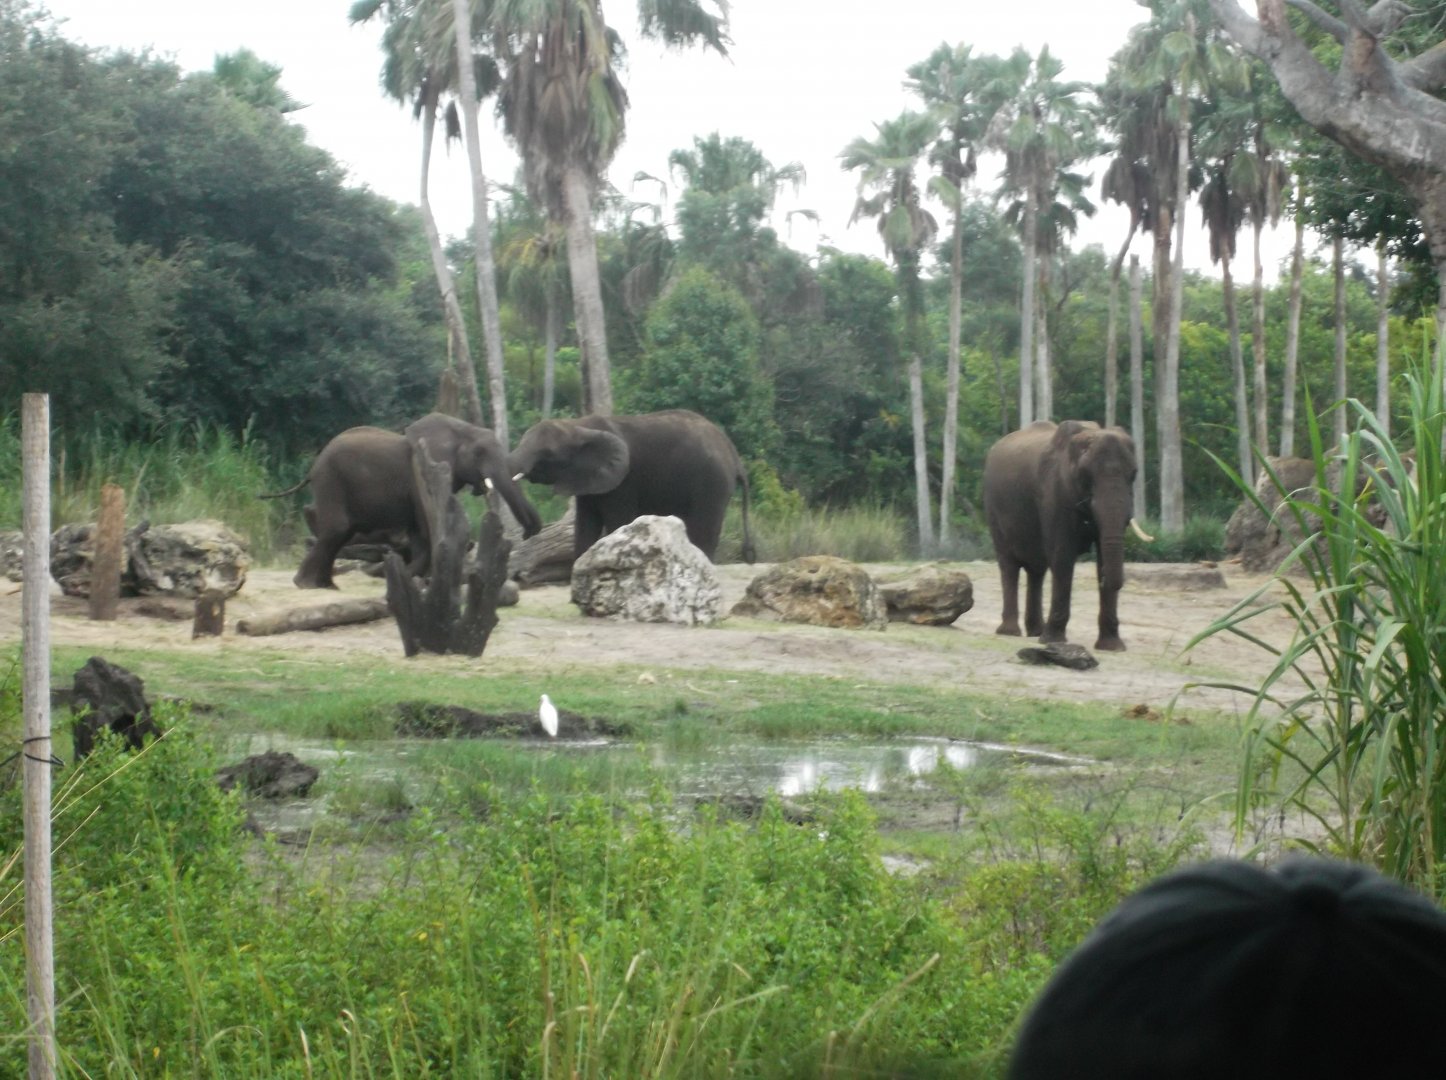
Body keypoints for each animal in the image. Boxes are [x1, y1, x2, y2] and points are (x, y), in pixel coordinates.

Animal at [262, 413, 542, 589]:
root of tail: (313, 466)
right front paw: (406, 578)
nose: (529, 532)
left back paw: (326, 586)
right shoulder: (420, 474)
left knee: (342, 533)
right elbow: (425, 528)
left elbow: (418, 531)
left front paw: (406, 579)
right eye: (479, 453)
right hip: (331, 480)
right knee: (337, 529)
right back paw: (307, 585)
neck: (459, 428)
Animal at [507, 409, 756, 563]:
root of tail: (733, 454)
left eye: (547, 454)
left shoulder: (624, 482)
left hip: (712, 482)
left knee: (704, 531)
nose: (528, 533)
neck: (578, 426)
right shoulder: (591, 480)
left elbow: (619, 522)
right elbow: (585, 526)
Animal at [982, 420, 1146, 652]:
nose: (1111, 581)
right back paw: (1011, 632)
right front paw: (1053, 640)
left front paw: (1112, 647)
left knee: (1037, 569)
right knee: (1009, 564)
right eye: (1086, 475)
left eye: (1133, 474)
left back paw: (1036, 631)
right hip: (993, 508)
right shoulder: (1054, 492)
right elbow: (1062, 556)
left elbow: (1102, 555)